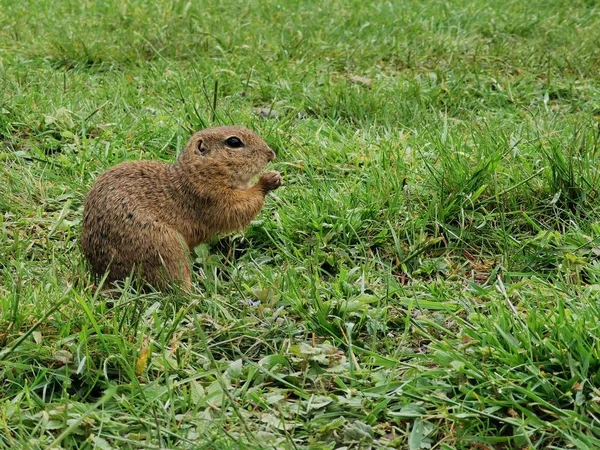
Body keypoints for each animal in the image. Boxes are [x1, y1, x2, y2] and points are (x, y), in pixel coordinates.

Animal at [80, 125, 284, 290]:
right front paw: (267, 181)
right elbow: (238, 209)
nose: (271, 154)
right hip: (164, 246)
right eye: (234, 142)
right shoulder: (210, 197)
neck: (194, 174)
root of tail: (107, 277)